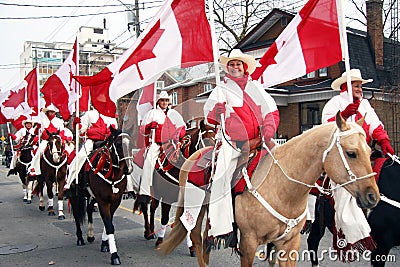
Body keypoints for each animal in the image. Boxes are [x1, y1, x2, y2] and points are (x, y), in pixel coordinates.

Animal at [67, 127, 133, 266]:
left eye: (131, 144)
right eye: (119, 144)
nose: (128, 169)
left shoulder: (115, 200)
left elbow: (109, 223)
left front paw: (105, 244)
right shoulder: (103, 201)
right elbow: (109, 225)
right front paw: (114, 255)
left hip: (92, 196)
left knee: (89, 209)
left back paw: (90, 235)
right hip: (75, 196)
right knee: (76, 214)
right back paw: (80, 238)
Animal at [135, 119, 216, 251]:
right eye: (206, 141)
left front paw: (191, 247)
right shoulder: (166, 197)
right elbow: (164, 218)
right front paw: (160, 241)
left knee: (152, 208)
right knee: (146, 207)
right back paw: (148, 232)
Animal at [158, 113, 380, 267]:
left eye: (370, 152)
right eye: (351, 153)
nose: (373, 196)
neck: (283, 188)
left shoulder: (289, 244)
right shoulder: (248, 243)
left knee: (206, 240)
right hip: (196, 208)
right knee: (196, 238)